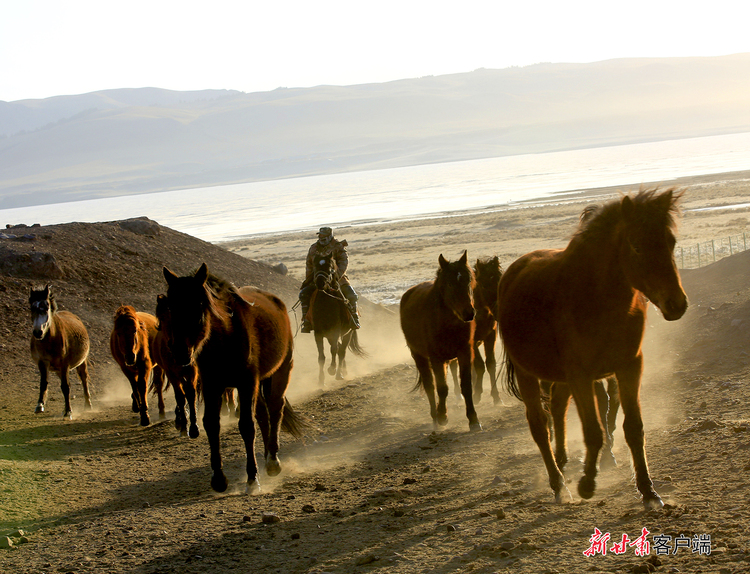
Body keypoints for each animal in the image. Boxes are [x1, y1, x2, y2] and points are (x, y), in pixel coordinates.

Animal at [29, 286, 92, 420]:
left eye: (46, 308)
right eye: (32, 308)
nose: (37, 332)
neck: (50, 340)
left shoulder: (64, 365)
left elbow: (65, 387)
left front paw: (68, 411)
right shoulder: (42, 363)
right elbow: (43, 383)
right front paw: (40, 405)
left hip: (81, 363)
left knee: (84, 380)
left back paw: (88, 405)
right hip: (58, 370)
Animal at [162, 266, 306, 496]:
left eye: (198, 305)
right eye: (171, 306)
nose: (179, 352)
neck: (224, 338)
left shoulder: (246, 383)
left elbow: (247, 426)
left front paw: (252, 479)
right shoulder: (212, 385)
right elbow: (211, 424)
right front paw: (219, 479)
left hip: (280, 371)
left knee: (275, 409)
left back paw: (273, 460)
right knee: (263, 414)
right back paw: (267, 457)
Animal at [308, 255, 368, 388]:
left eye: (330, 267)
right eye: (315, 265)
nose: (320, 282)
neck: (325, 306)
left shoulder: (335, 331)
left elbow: (334, 350)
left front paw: (332, 369)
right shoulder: (318, 334)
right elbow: (321, 356)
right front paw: (321, 381)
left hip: (347, 333)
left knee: (341, 351)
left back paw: (339, 374)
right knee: (339, 349)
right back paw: (343, 371)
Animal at [400, 252, 482, 432]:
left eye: (468, 280)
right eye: (450, 283)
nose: (469, 313)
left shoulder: (464, 353)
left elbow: (466, 386)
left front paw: (473, 419)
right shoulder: (436, 358)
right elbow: (442, 388)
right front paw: (443, 416)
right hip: (420, 357)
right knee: (430, 386)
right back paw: (435, 418)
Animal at [500, 189, 688, 508]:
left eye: (671, 242)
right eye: (636, 246)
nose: (677, 304)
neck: (597, 299)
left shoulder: (629, 367)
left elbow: (632, 428)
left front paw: (648, 491)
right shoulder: (581, 376)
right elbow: (594, 432)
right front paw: (587, 483)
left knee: (558, 407)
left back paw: (563, 462)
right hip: (527, 374)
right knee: (539, 426)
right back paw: (559, 485)